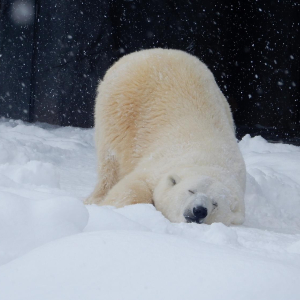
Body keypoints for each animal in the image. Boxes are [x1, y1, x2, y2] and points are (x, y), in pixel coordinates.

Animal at [85, 48, 245, 225]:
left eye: (215, 203)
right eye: (191, 191)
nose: (199, 210)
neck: (209, 159)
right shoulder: (158, 166)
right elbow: (134, 186)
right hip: (119, 107)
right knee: (110, 161)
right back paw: (95, 198)